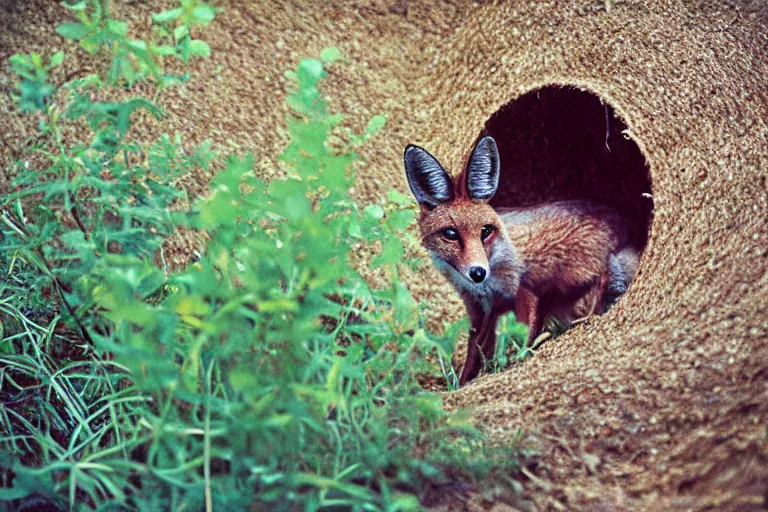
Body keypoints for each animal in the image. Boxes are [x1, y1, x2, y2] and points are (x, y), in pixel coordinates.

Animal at [404, 135, 640, 384]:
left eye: (485, 231)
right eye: (450, 234)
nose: (478, 272)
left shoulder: (524, 290)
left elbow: (523, 336)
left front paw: (517, 365)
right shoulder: (479, 308)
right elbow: (475, 351)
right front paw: (463, 384)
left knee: (602, 282)